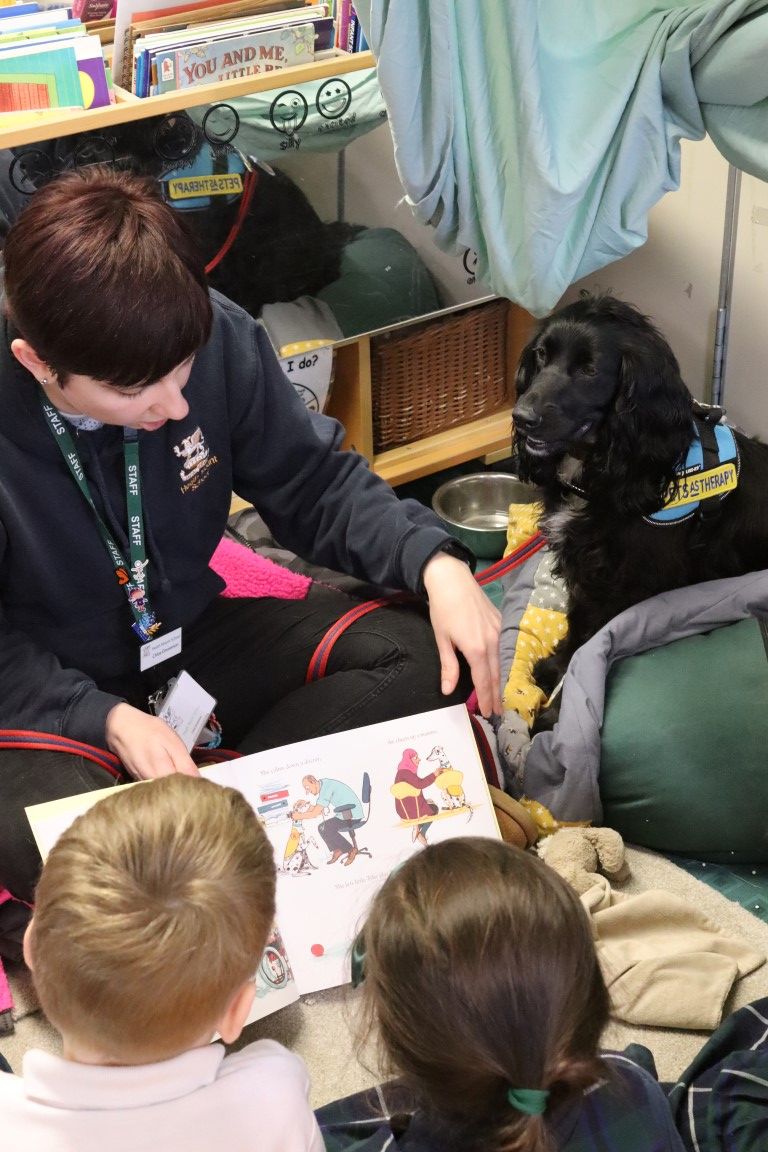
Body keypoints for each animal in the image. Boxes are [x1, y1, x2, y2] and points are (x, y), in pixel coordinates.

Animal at [513, 294, 768, 728]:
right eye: (541, 355)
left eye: (590, 370)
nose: (521, 417)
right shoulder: (587, 569)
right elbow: (578, 624)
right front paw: (554, 671)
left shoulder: (627, 584)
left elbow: (592, 642)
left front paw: (555, 715)